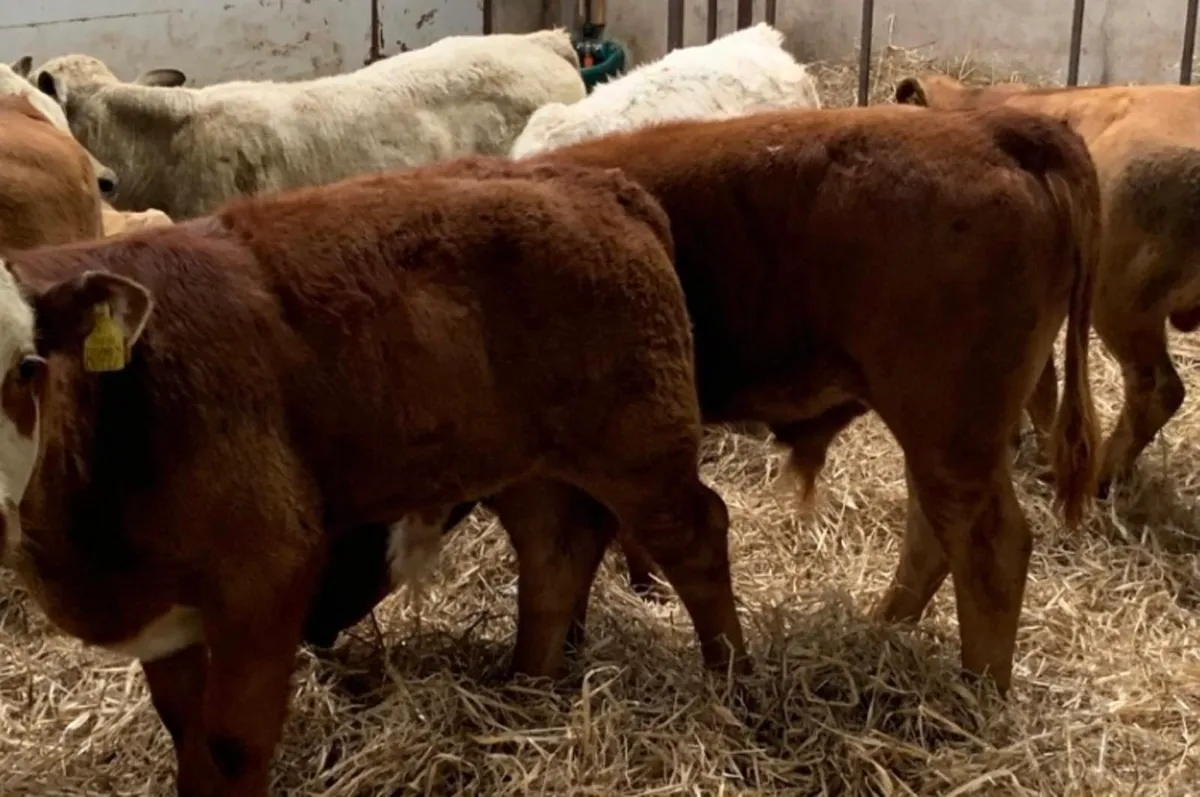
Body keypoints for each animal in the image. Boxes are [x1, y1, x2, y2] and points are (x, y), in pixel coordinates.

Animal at [0, 155, 745, 796]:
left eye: (27, 366)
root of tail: (597, 182)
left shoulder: (265, 573)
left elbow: (231, 746)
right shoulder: (163, 611)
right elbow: (186, 736)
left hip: (640, 445)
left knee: (697, 539)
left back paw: (734, 687)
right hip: (524, 464)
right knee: (556, 555)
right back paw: (525, 694)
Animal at [304, 103, 1103, 696]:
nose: (311, 631)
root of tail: (996, 129)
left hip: (947, 426)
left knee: (991, 544)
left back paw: (978, 695)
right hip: (943, 432)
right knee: (935, 530)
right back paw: (885, 630)